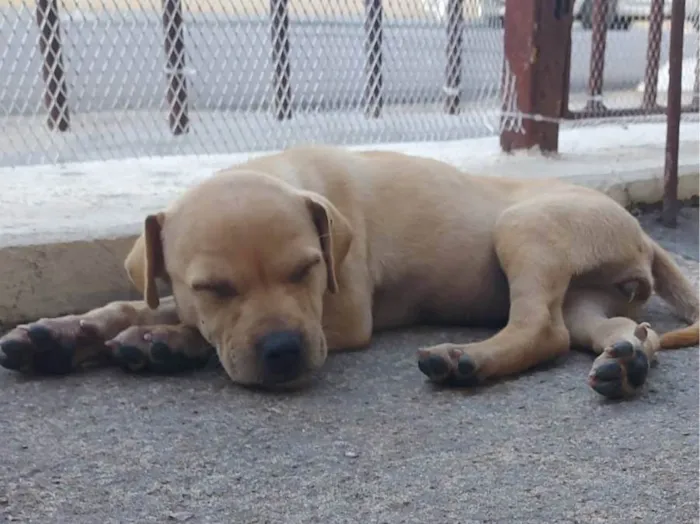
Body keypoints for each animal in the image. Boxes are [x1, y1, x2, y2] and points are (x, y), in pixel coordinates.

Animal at [1, 145, 700, 400]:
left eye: (308, 270)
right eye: (213, 287)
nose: (283, 353)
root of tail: (640, 229)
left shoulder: (338, 313)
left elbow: (185, 324)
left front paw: (160, 340)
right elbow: (146, 303)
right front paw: (57, 335)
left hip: (524, 228)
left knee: (540, 329)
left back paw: (466, 359)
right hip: (587, 294)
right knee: (607, 327)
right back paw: (626, 359)